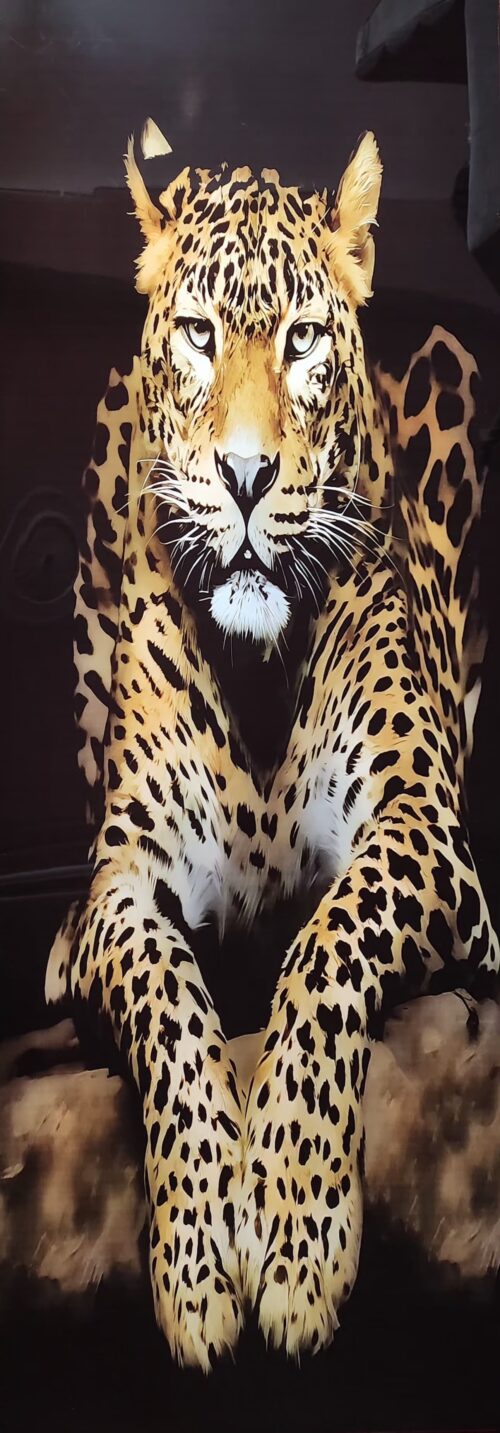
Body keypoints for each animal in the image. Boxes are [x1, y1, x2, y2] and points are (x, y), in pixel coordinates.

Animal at [46, 128, 499, 1371]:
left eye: (301, 338)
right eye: (201, 333)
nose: (246, 477)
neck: (255, 668)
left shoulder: (419, 830)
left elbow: (326, 943)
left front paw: (294, 1234)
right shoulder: (129, 880)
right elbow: (164, 995)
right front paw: (203, 1251)